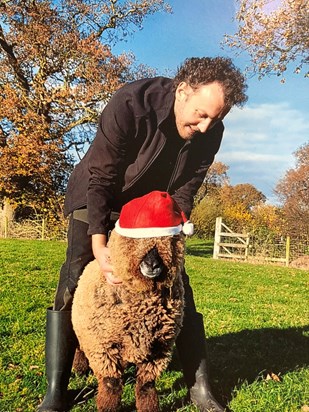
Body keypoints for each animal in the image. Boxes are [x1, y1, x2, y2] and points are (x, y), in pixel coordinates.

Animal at [72, 192, 189, 410]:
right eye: (134, 241)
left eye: (170, 241)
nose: (152, 265)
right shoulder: (104, 348)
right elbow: (111, 385)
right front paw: (107, 408)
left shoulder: (158, 349)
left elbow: (146, 386)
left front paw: (149, 407)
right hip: (85, 331)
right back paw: (79, 367)